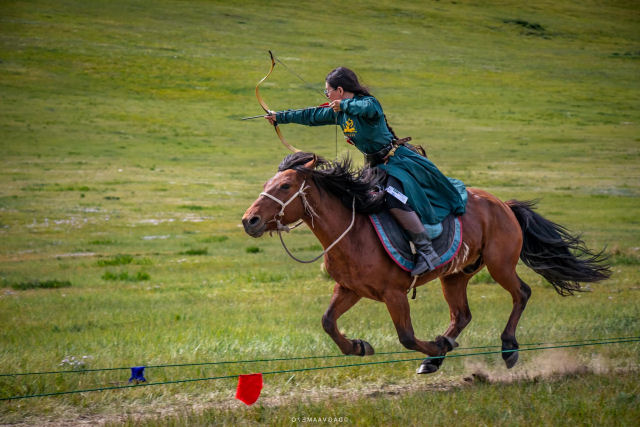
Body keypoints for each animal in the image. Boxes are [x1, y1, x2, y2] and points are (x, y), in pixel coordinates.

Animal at [241, 154, 608, 374]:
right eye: (266, 185)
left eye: (284, 186)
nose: (250, 220)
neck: (353, 231)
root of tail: (503, 204)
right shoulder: (349, 289)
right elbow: (328, 322)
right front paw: (359, 346)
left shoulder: (394, 294)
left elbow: (406, 336)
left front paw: (434, 345)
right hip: (456, 275)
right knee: (462, 314)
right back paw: (435, 360)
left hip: (500, 264)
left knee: (522, 293)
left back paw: (506, 348)